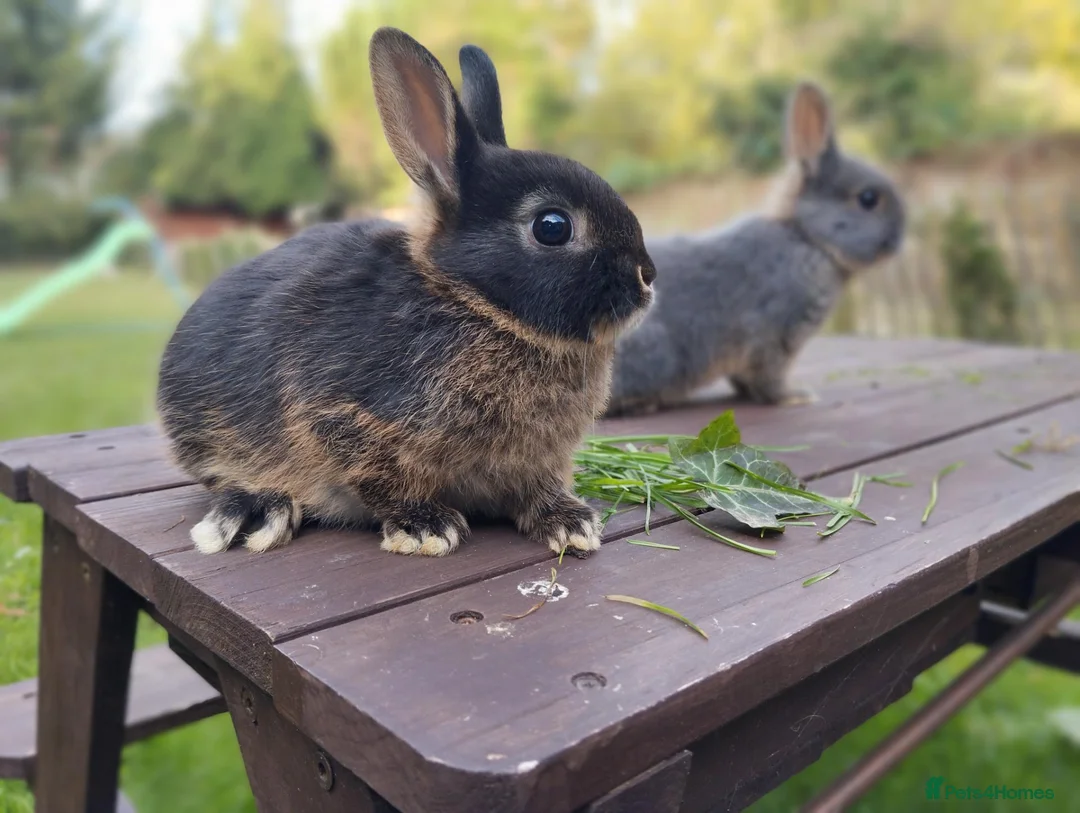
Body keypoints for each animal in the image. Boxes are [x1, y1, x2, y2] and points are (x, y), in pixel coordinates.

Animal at [156, 29, 656, 558]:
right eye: (552, 226)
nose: (647, 275)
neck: (477, 303)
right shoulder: (350, 421)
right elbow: (385, 482)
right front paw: (425, 528)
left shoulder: (536, 461)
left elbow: (536, 489)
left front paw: (571, 523)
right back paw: (265, 507)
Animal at [605, 81, 905, 416]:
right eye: (868, 199)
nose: (898, 239)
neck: (806, 238)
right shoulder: (772, 336)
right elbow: (769, 377)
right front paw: (794, 396)